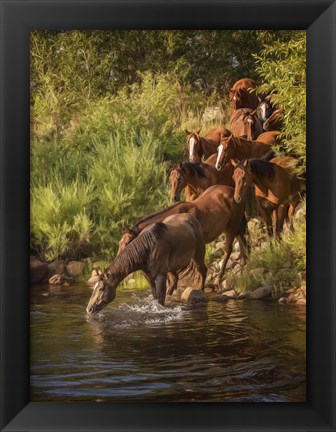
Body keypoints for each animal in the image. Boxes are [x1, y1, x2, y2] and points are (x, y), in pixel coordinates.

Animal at [117, 185, 248, 284]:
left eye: (127, 243)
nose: (120, 260)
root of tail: (233, 191)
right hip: (230, 227)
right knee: (242, 241)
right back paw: (244, 262)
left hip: (232, 226)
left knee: (228, 250)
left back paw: (220, 277)